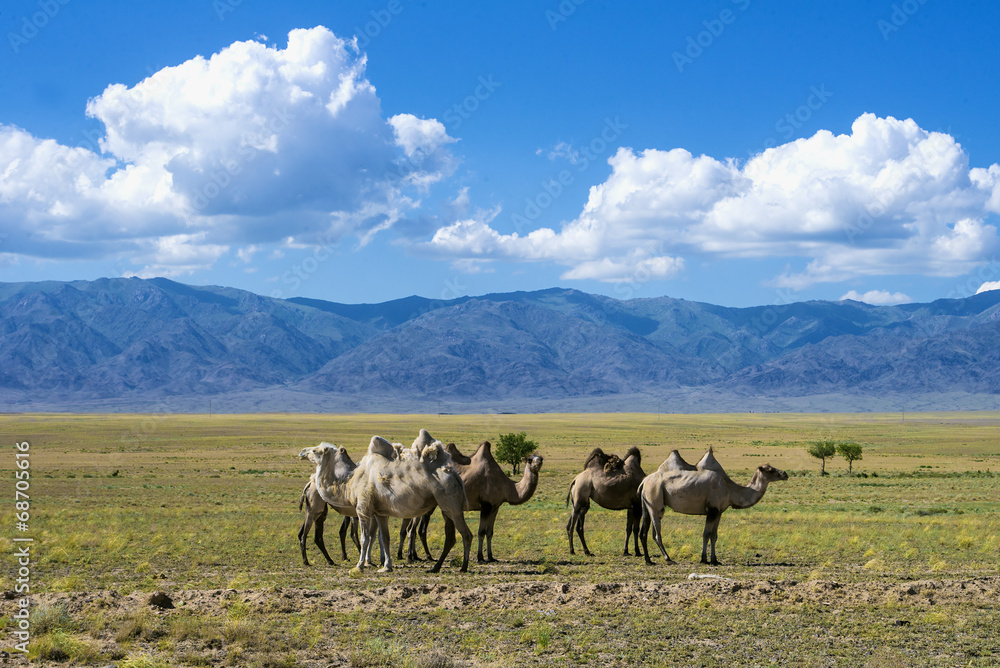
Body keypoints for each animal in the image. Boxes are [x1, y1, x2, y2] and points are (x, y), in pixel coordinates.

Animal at [639, 448, 788, 565]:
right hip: (655, 500)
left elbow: (714, 536)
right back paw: (668, 558)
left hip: (648, 505)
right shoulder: (712, 510)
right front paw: (704, 559)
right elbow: (706, 534)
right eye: (770, 470)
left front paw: (715, 559)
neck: (730, 489)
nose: (785, 473)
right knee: (656, 533)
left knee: (645, 532)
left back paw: (648, 560)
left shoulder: (719, 512)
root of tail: (644, 481)